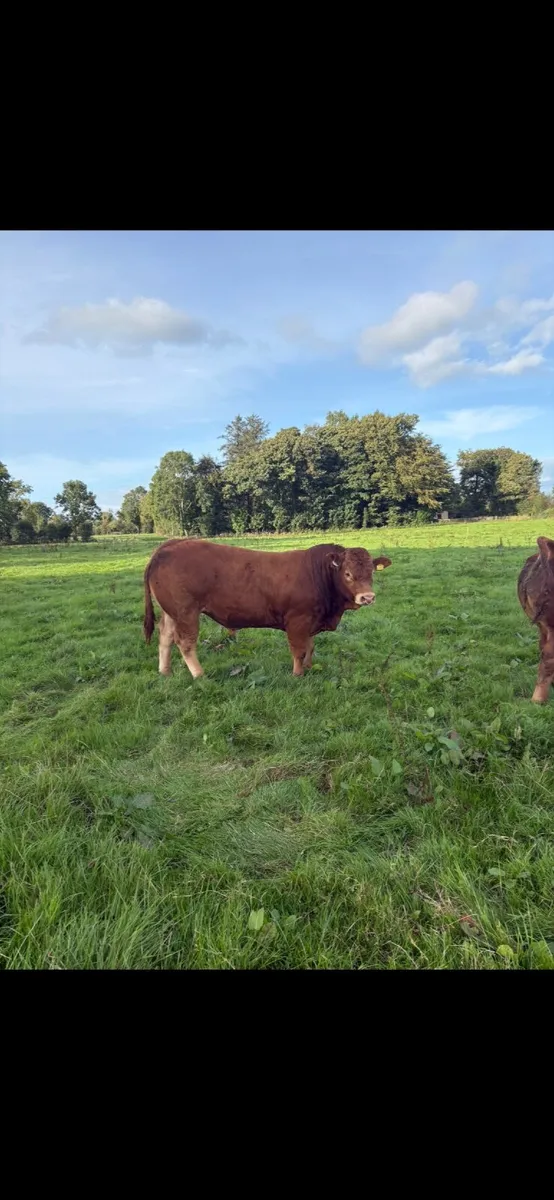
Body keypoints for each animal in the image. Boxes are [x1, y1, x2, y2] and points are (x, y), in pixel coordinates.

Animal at [143, 539, 392, 678]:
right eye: (347, 574)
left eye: (372, 571)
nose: (367, 597)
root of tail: (169, 545)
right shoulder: (298, 620)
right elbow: (299, 649)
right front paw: (297, 674)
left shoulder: (311, 620)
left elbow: (310, 647)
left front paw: (309, 668)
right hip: (186, 612)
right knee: (185, 643)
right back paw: (199, 675)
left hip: (171, 612)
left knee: (165, 637)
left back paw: (165, 672)